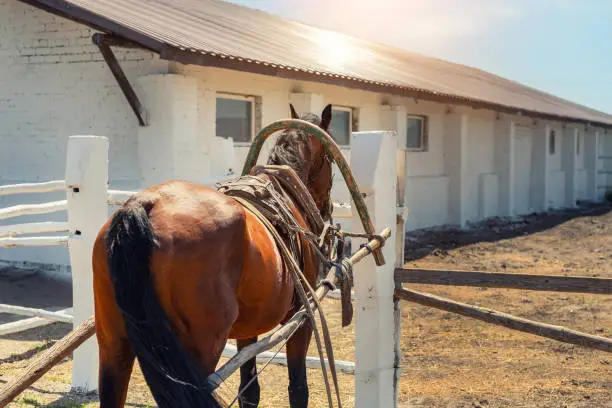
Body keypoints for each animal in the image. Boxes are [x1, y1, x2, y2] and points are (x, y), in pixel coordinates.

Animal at [92, 103, 334, 406]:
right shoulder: (302, 318)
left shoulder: (248, 327)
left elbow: (249, 390)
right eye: (331, 158)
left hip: (113, 343)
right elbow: (298, 388)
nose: (327, 210)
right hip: (200, 349)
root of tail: (145, 204)